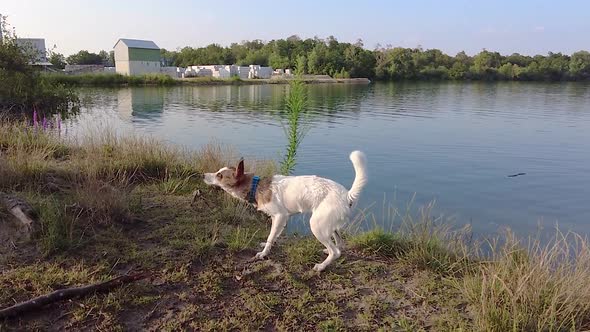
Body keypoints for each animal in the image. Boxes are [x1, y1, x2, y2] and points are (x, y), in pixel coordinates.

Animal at [206, 150, 368, 272]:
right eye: (218, 171)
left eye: (219, 176)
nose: (203, 175)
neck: (255, 186)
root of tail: (346, 195)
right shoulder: (277, 219)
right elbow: (273, 236)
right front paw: (266, 246)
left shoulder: (280, 216)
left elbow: (271, 236)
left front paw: (263, 254)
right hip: (328, 225)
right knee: (339, 244)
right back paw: (327, 252)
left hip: (317, 226)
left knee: (336, 252)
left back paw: (321, 266)